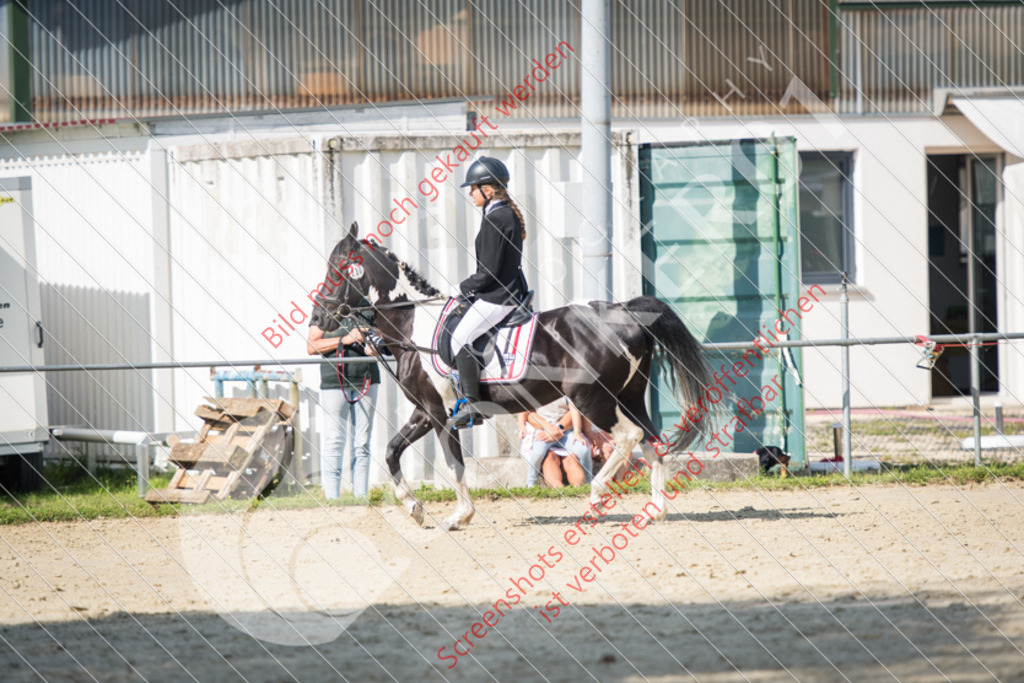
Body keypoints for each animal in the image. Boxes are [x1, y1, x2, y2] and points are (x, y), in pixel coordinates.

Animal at [313, 222, 712, 532]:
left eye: (336, 270)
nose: (317, 320)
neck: (413, 324)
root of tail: (624, 311)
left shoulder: (442, 415)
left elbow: (453, 465)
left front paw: (459, 516)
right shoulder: (424, 411)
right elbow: (392, 451)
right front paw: (414, 509)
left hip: (593, 399)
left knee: (630, 437)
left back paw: (596, 499)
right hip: (628, 397)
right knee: (652, 441)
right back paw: (654, 512)